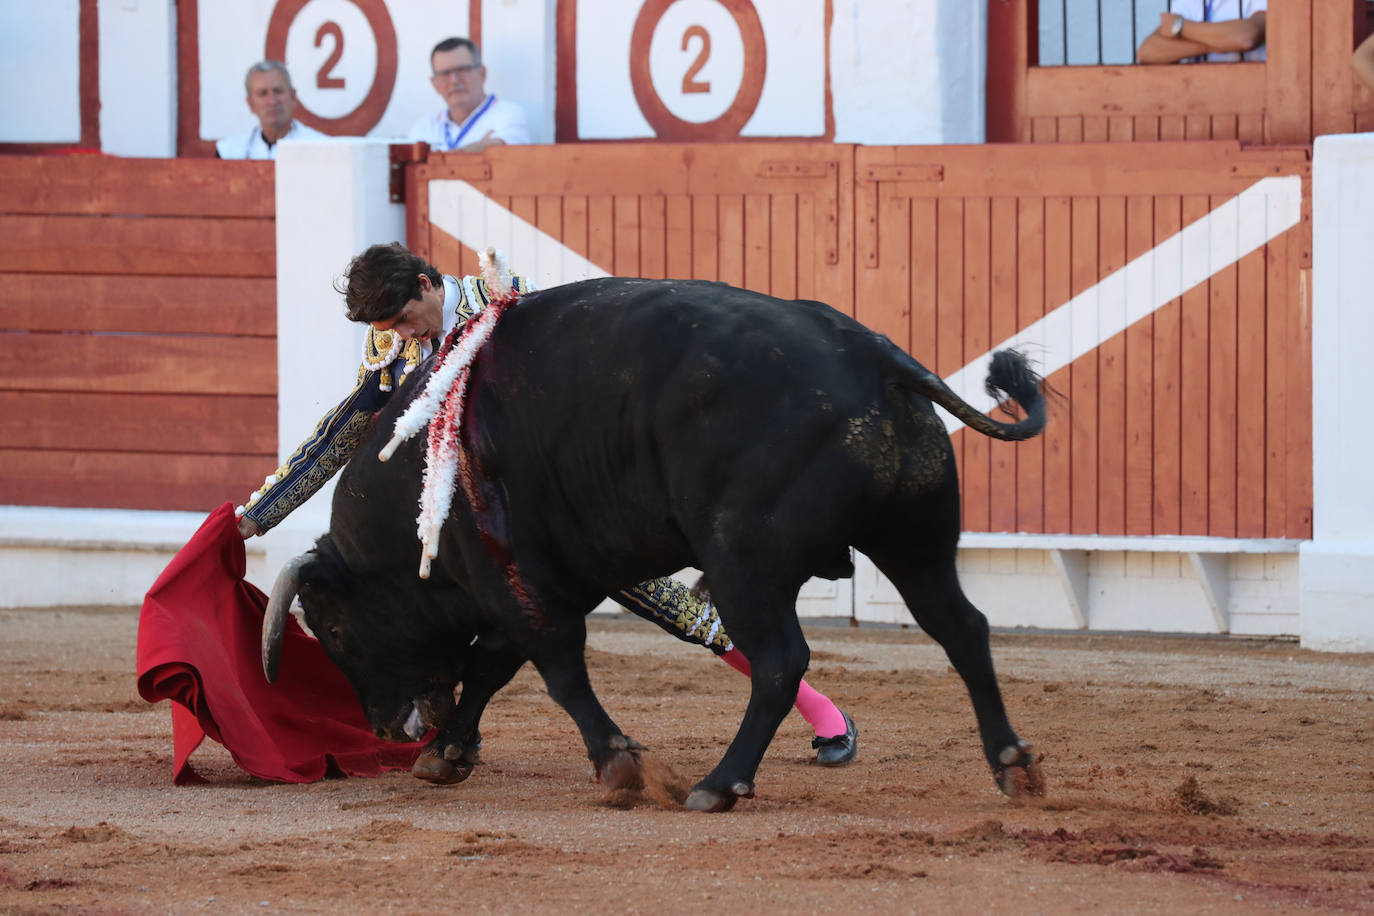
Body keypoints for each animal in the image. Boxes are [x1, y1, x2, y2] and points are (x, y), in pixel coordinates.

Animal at [259, 276, 1049, 813]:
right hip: (915, 541)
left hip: (743, 562)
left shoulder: (513, 583)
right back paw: (1013, 765)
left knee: (780, 660)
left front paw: (618, 765)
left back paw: (719, 783)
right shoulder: (533, 586)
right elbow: (490, 669)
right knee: (962, 630)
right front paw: (447, 753)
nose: (385, 728)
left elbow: (557, 672)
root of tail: (869, 352)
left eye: (333, 629)